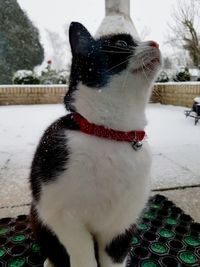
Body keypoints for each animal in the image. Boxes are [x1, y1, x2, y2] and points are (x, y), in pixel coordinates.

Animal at [29, 21, 161, 267]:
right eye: (121, 44)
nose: (156, 43)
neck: (110, 134)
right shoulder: (61, 215)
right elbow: (82, 254)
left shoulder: (122, 223)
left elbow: (114, 258)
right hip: (37, 215)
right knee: (53, 249)